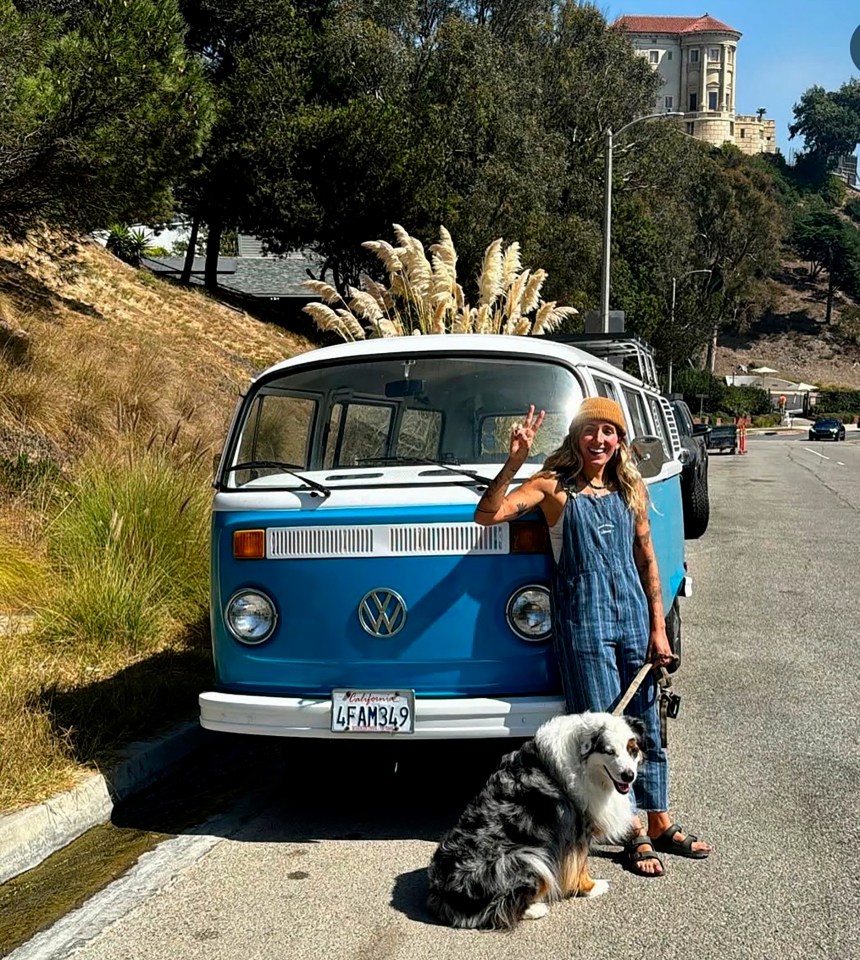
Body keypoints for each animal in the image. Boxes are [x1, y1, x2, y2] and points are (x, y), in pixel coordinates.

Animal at [426, 712, 640, 928]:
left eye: (633, 750)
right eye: (609, 751)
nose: (628, 776)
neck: (584, 763)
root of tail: (440, 894)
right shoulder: (577, 830)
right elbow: (580, 865)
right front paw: (592, 887)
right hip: (525, 859)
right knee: (500, 909)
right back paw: (536, 908)